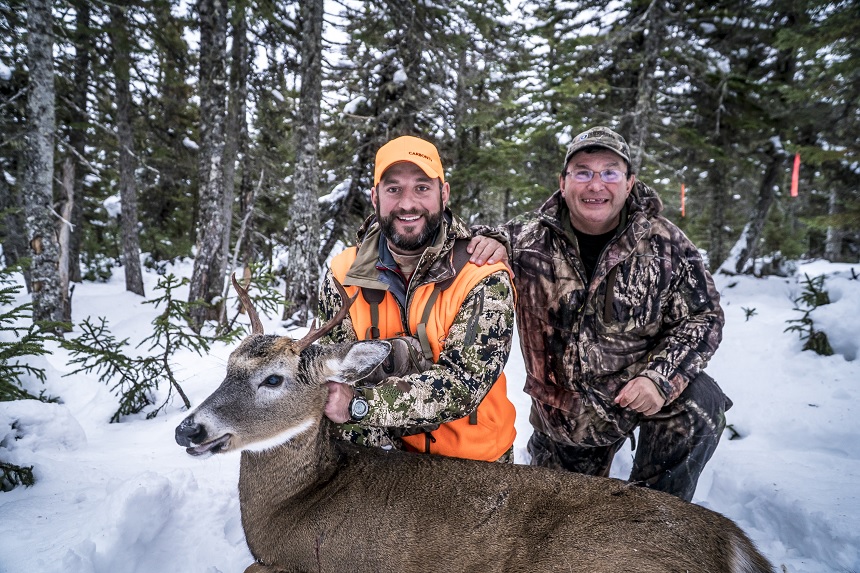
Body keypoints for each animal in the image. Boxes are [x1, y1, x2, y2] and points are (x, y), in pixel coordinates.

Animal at [175, 274, 772, 568]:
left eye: (273, 379)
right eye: (228, 365)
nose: (188, 429)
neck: (295, 502)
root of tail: (736, 548)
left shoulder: (315, 564)